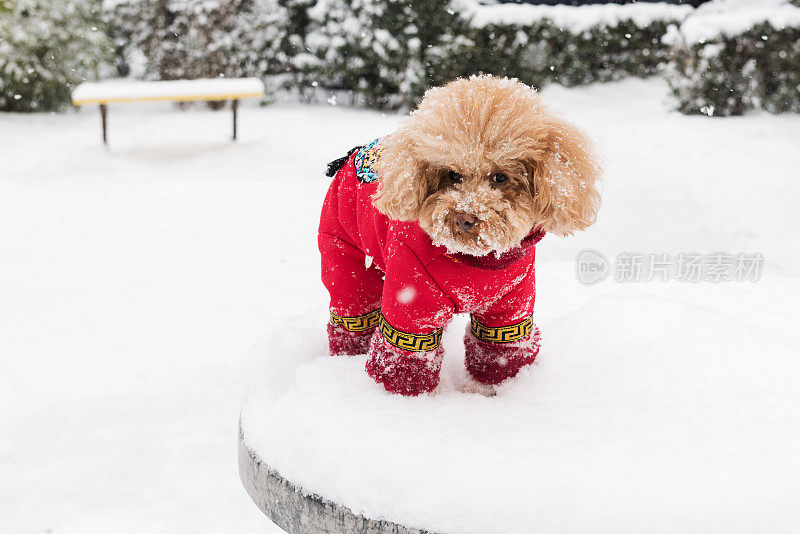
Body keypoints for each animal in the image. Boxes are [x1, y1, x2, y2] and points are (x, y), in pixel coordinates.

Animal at [318, 75, 600, 398]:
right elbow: (408, 351)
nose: (465, 217)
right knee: (352, 301)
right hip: (339, 244)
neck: (477, 262)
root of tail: (355, 153)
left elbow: (497, 349)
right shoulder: (412, 295)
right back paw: (346, 358)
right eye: (453, 175)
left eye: (501, 177)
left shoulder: (511, 303)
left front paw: (486, 391)